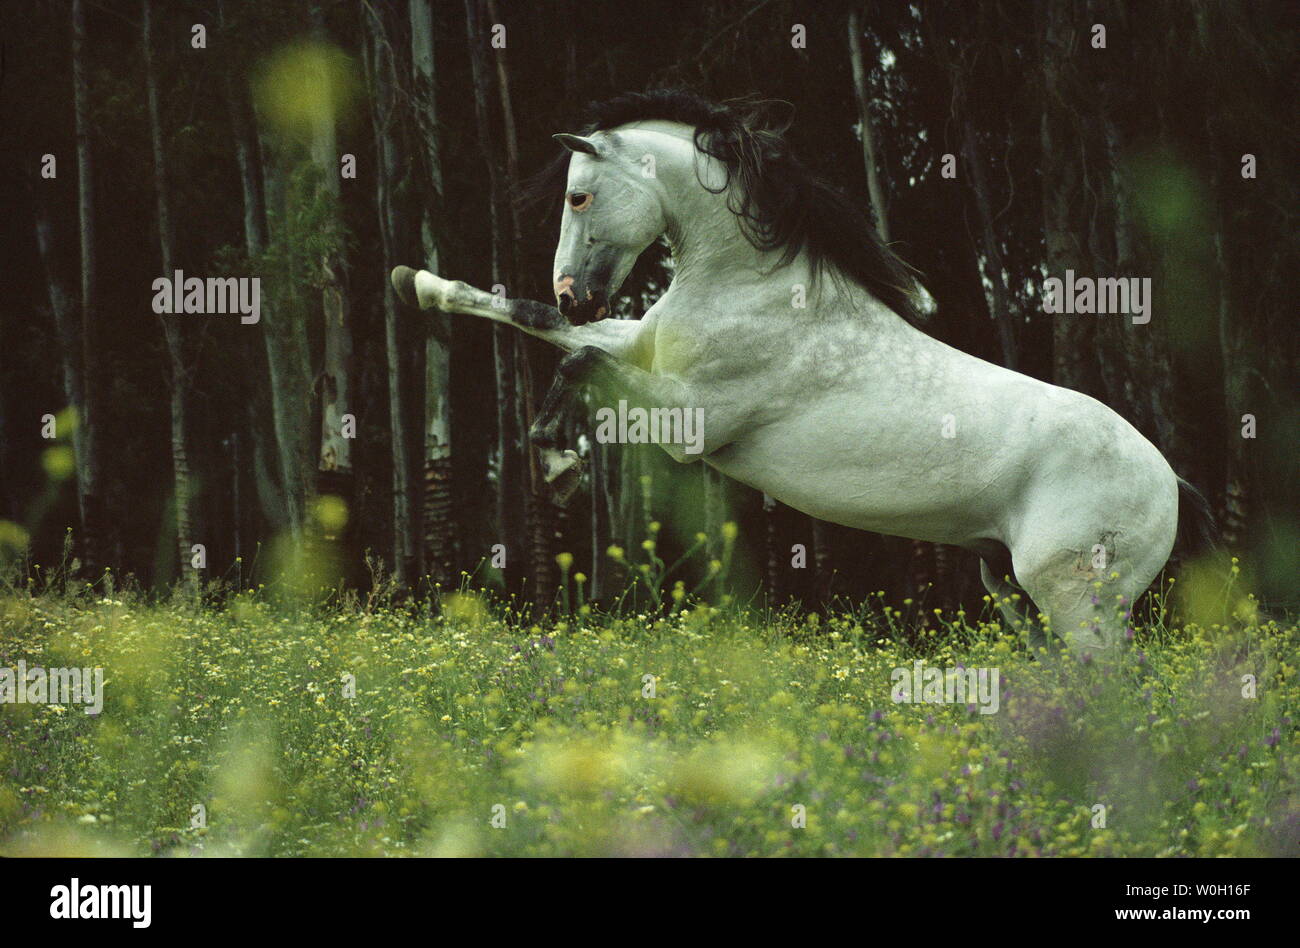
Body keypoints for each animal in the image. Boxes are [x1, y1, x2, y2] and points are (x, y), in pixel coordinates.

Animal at [391, 90, 1214, 658]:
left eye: (578, 194)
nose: (574, 290)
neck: (752, 286)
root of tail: (1170, 480)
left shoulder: (687, 422)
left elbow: (578, 356)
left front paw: (557, 460)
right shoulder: (640, 345)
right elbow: (535, 322)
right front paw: (417, 284)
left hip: (1076, 601)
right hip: (1012, 592)